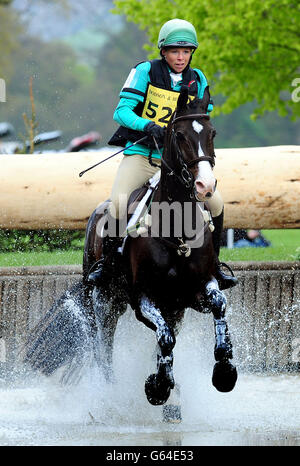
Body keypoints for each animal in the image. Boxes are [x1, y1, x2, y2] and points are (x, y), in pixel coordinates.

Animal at [23, 83, 238, 412]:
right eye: (179, 135)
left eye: (212, 133)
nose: (205, 186)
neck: (176, 227)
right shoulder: (144, 298)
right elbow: (164, 340)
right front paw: (157, 388)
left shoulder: (199, 289)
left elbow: (217, 307)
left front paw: (224, 372)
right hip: (105, 303)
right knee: (103, 351)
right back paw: (111, 397)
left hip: (172, 308)